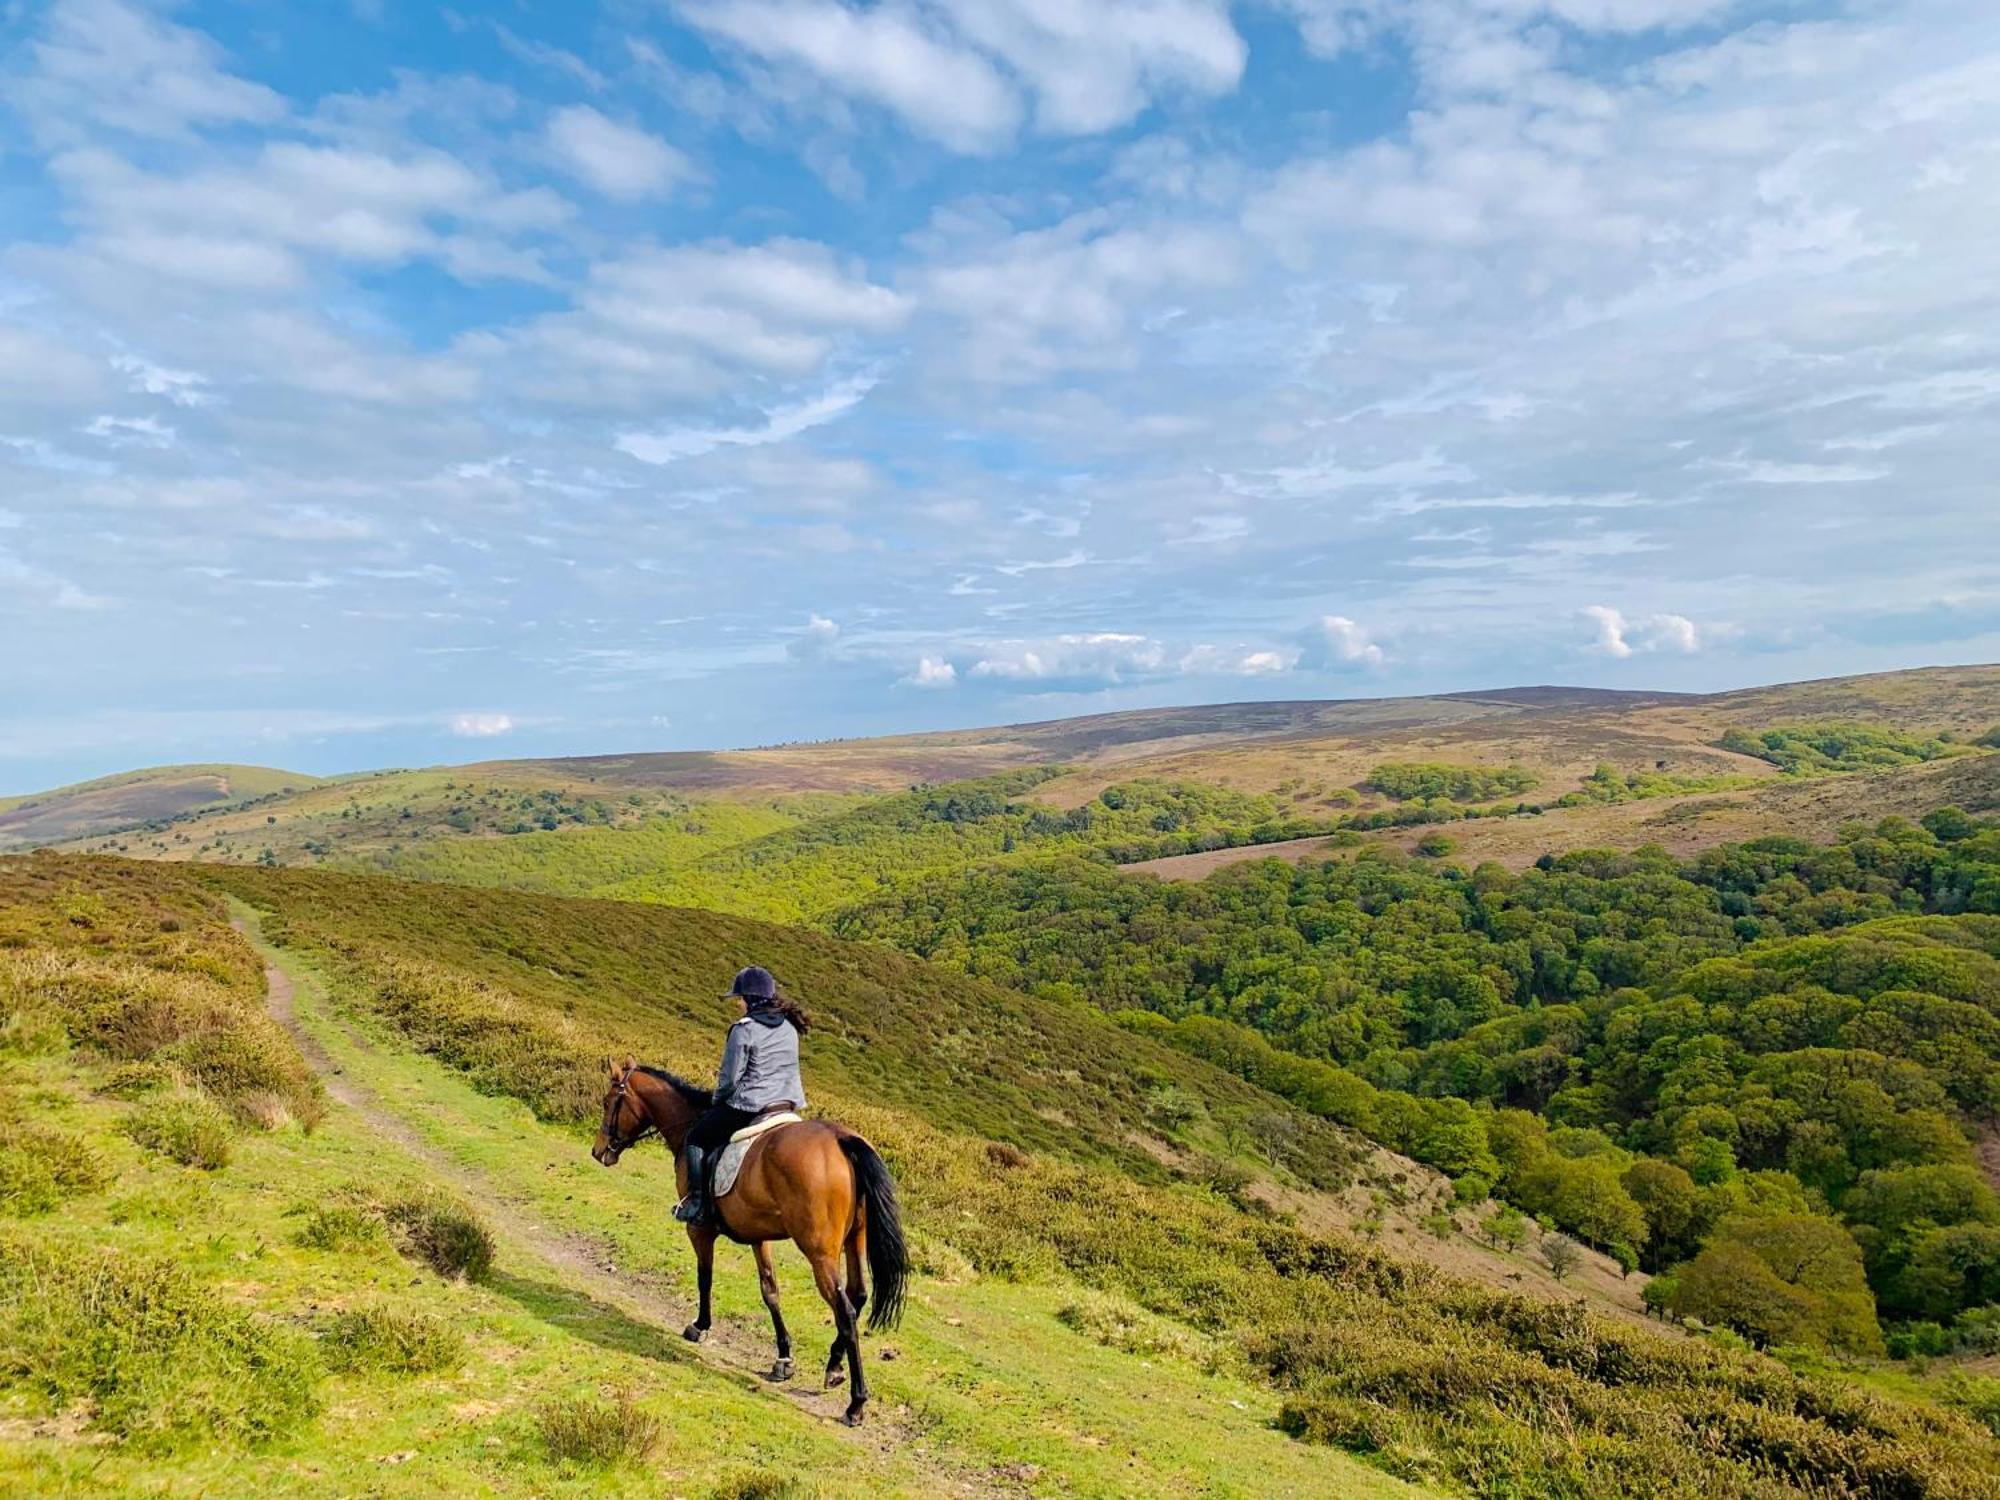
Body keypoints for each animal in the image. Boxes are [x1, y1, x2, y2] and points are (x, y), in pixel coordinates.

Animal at [588, 1048, 912, 1424]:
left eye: (608, 1102)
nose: (599, 1151)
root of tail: (842, 1140)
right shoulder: (760, 1237)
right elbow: (770, 1290)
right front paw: (783, 1357)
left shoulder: (699, 1229)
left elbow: (705, 1277)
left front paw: (700, 1325)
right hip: (854, 1239)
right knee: (858, 1295)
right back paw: (833, 1366)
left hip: (819, 1251)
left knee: (844, 1309)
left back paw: (856, 1402)